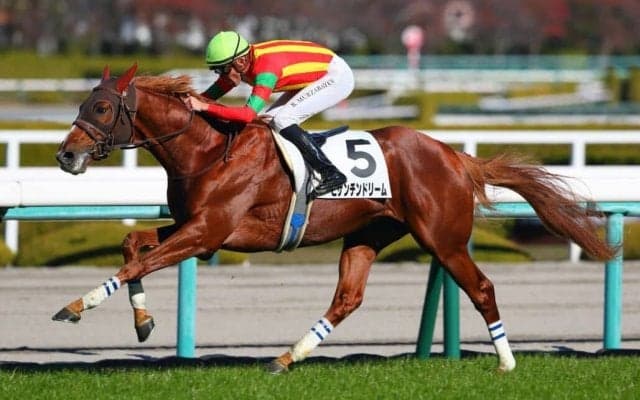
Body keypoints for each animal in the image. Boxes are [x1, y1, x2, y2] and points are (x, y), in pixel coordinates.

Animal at [54, 64, 614, 373]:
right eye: (84, 103)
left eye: (101, 108)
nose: (65, 156)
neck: (208, 150)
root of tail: (456, 156)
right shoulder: (196, 228)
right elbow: (132, 247)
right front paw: (142, 321)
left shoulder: (208, 233)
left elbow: (135, 262)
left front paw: (77, 306)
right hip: (369, 234)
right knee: (348, 297)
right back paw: (287, 357)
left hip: (444, 239)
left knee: (481, 288)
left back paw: (506, 361)